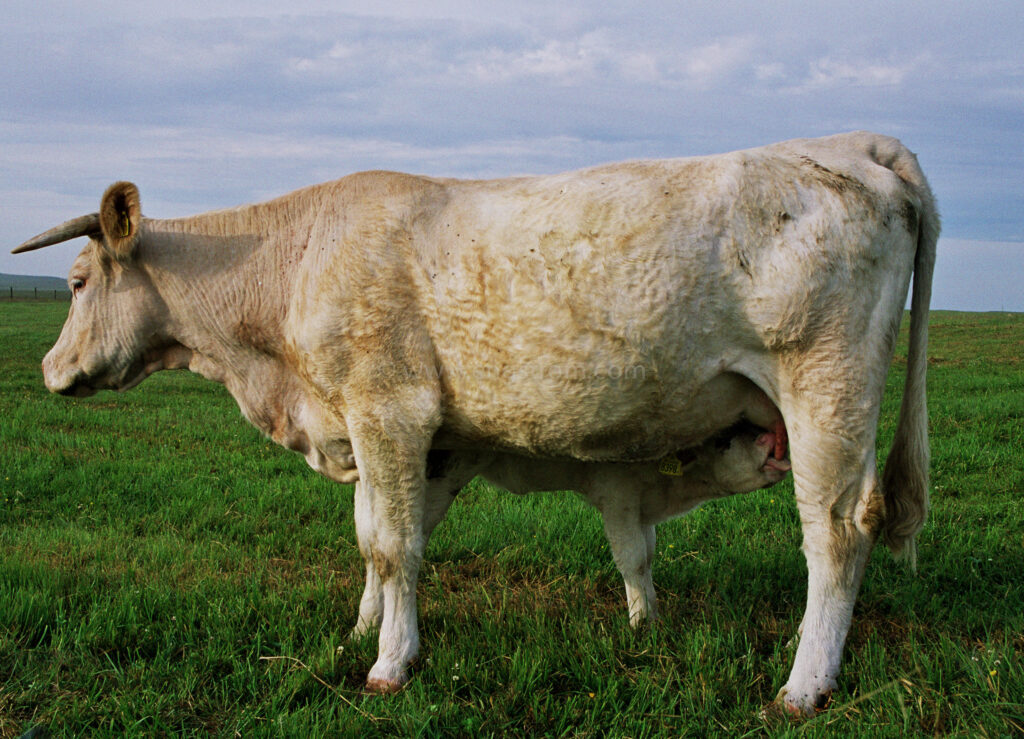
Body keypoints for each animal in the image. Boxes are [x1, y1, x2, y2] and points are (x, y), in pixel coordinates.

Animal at [14, 132, 937, 712]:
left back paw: (804, 685)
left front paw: (390, 663)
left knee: (836, 531)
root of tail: (856, 142)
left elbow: (396, 547)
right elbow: (373, 540)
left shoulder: (389, 409)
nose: (49, 370)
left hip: (826, 384)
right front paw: (361, 628)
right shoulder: (411, 437)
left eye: (76, 282)